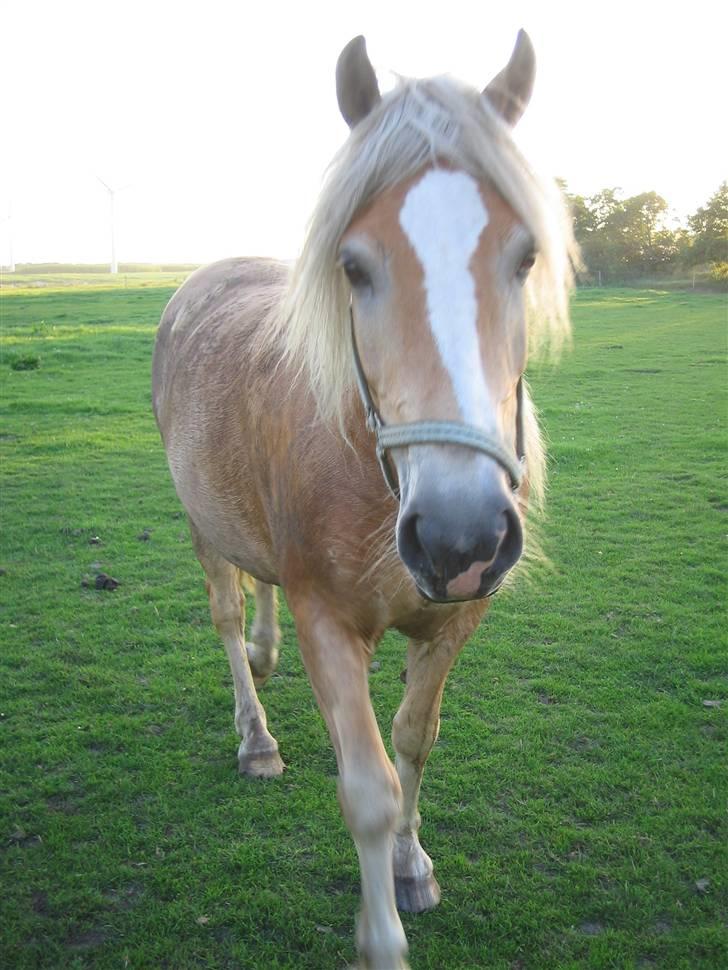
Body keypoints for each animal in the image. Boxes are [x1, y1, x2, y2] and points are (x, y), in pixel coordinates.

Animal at [152, 32, 576, 968]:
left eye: (525, 256)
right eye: (354, 266)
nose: (460, 535)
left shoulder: (454, 622)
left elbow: (416, 741)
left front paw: (414, 866)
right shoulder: (329, 624)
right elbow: (370, 787)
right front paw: (383, 934)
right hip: (202, 526)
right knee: (227, 617)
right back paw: (256, 736)